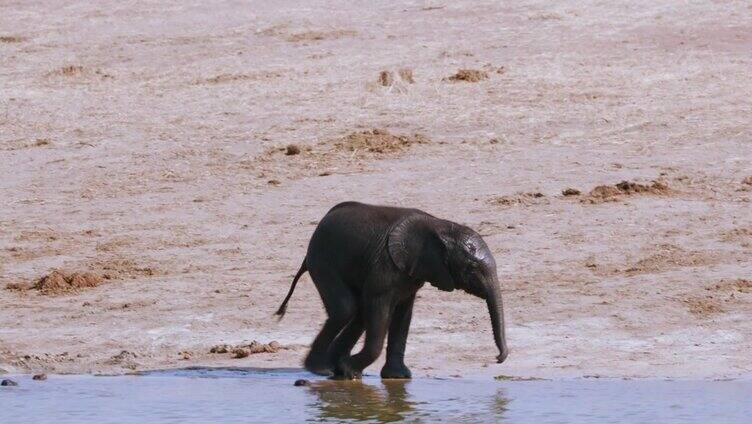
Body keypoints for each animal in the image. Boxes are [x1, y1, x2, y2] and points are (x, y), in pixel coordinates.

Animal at [278, 200, 512, 380]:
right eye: (472, 268)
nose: (498, 358)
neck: (440, 225)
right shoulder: (386, 265)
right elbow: (380, 306)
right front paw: (351, 371)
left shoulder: (411, 273)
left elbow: (403, 314)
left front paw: (397, 377)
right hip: (323, 262)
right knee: (346, 309)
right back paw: (322, 369)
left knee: (359, 313)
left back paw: (336, 369)